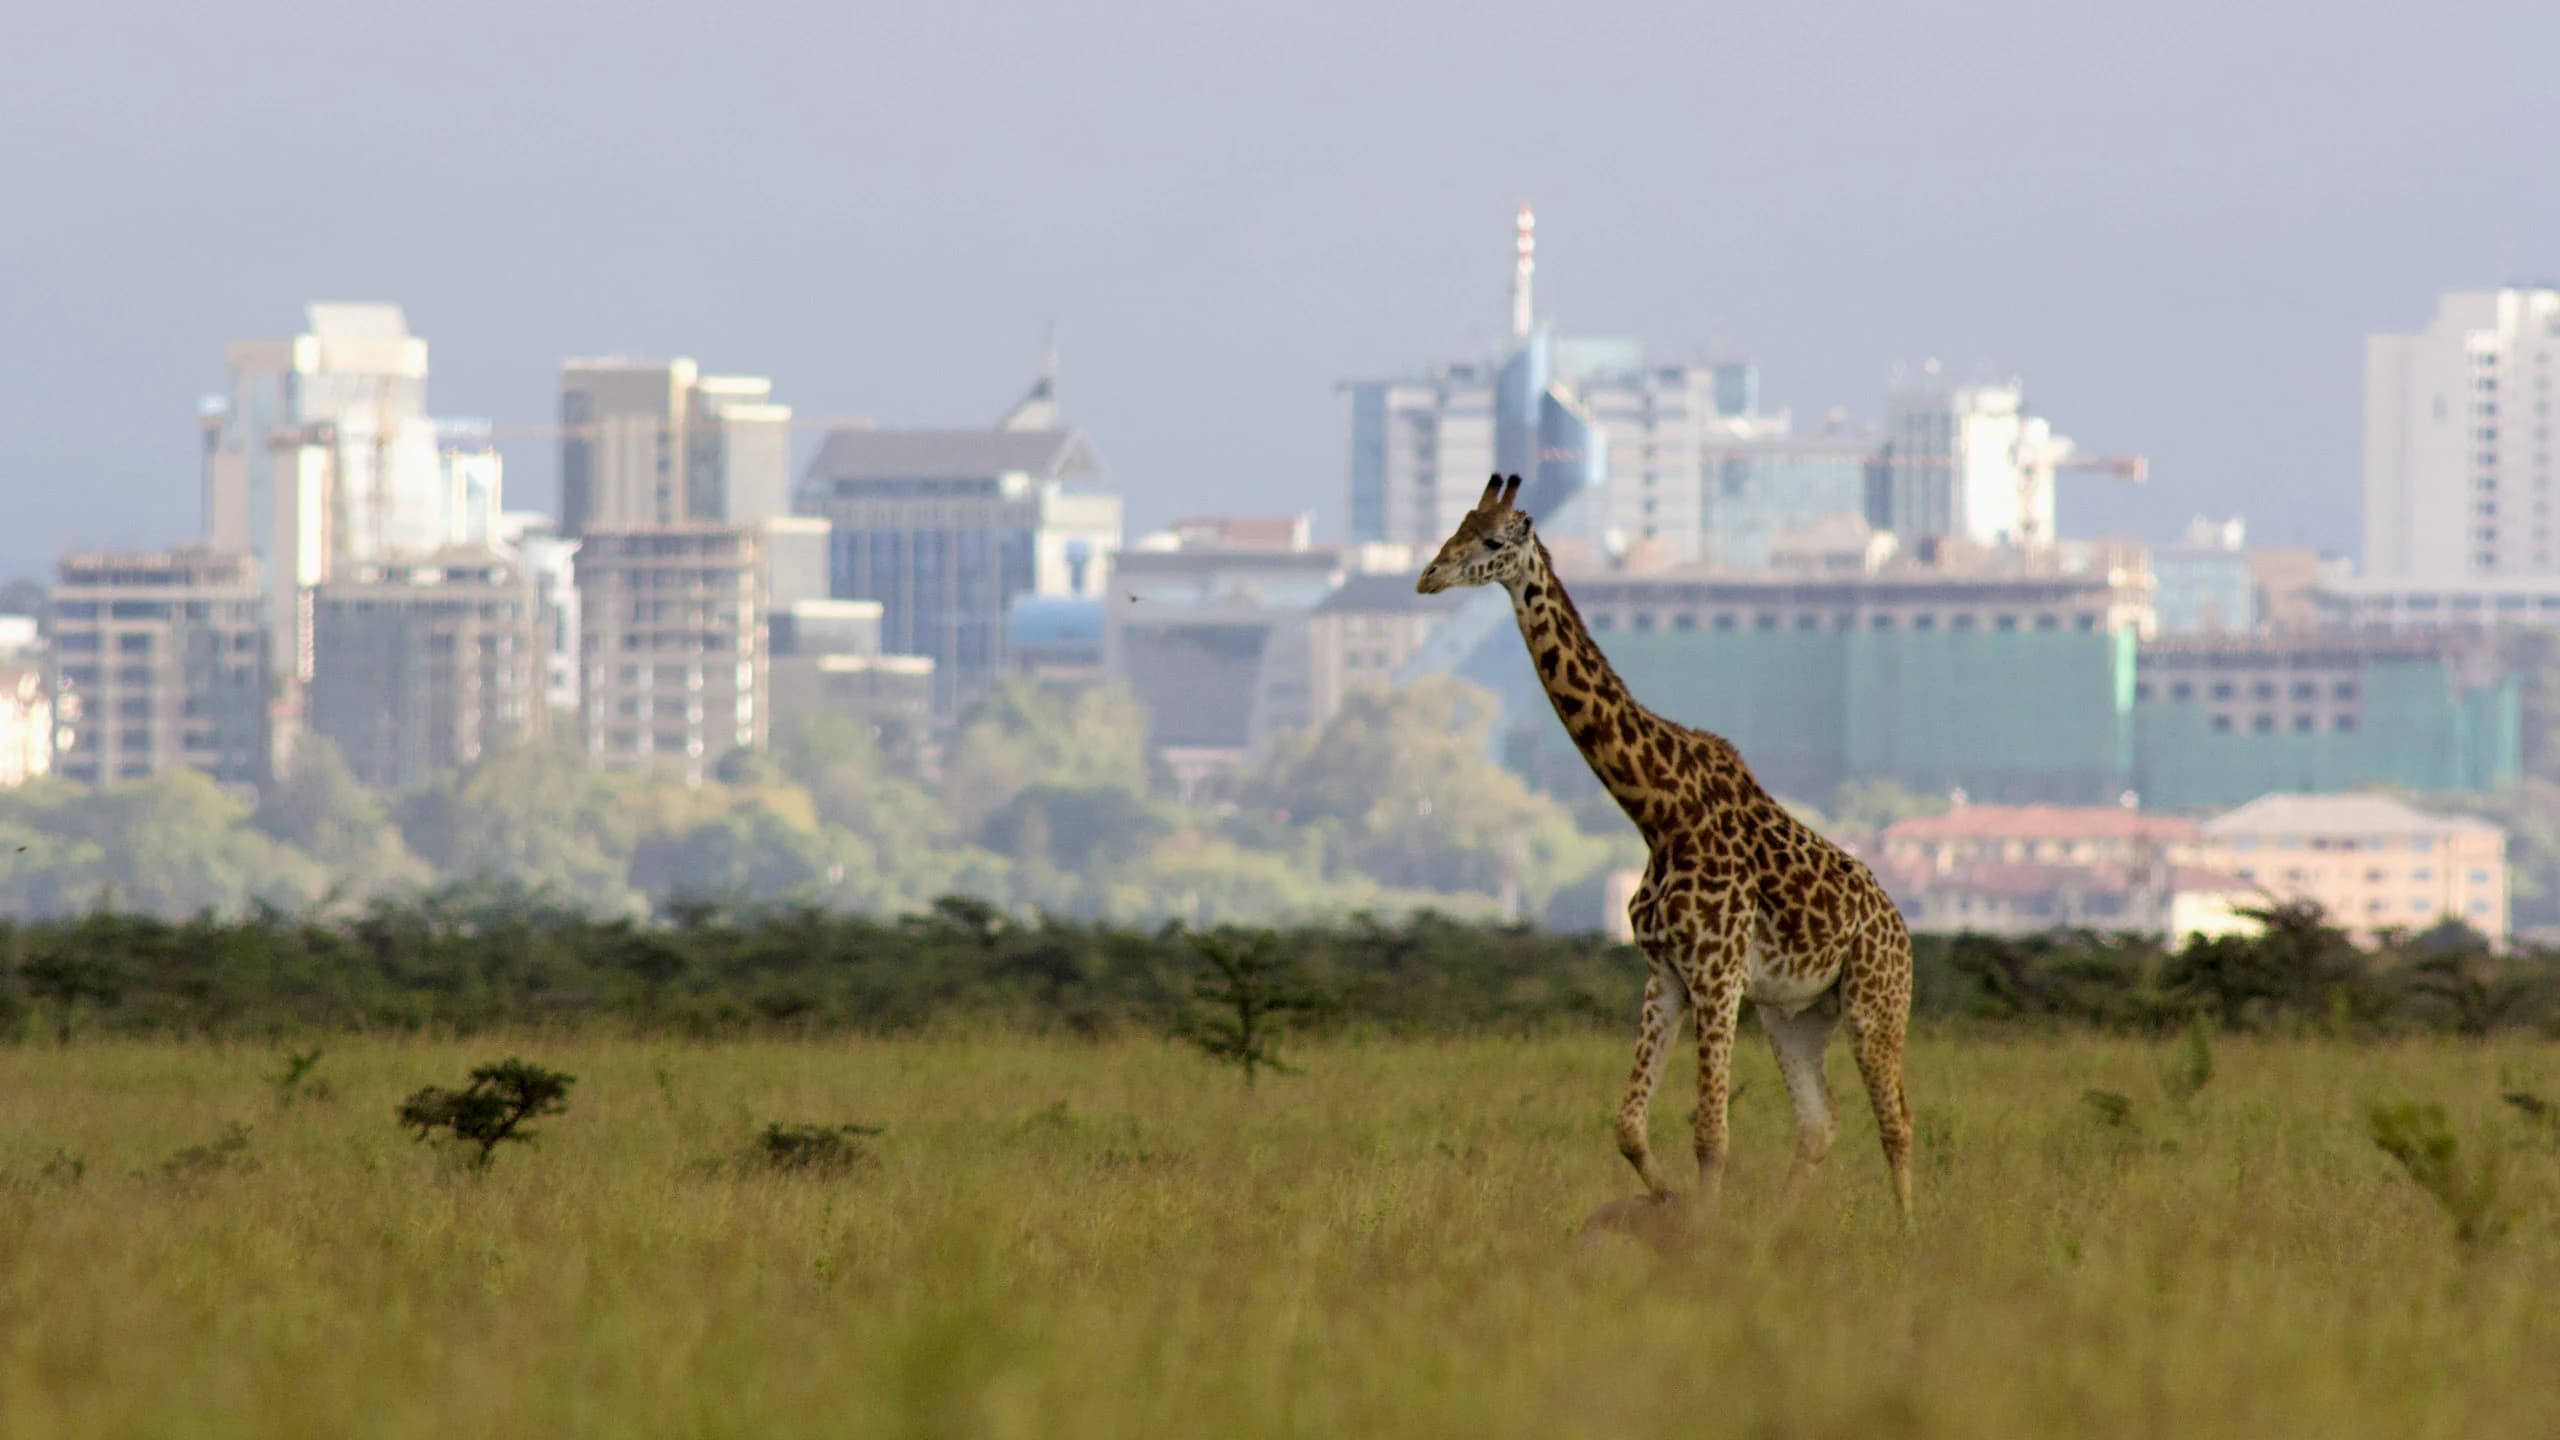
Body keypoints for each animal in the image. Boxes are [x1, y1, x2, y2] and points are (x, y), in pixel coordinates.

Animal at [1416, 475, 1915, 1220]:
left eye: (1492, 539)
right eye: (1458, 525)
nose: (1428, 576)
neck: (1659, 812)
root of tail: (1902, 929)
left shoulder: (1717, 974)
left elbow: (1711, 1133)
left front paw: (1699, 1230)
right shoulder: (1666, 977)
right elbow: (1629, 1127)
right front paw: (1673, 1206)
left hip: (1874, 1002)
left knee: (1896, 1122)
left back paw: (1909, 1235)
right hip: (1793, 1015)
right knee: (1818, 1123)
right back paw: (1777, 1228)